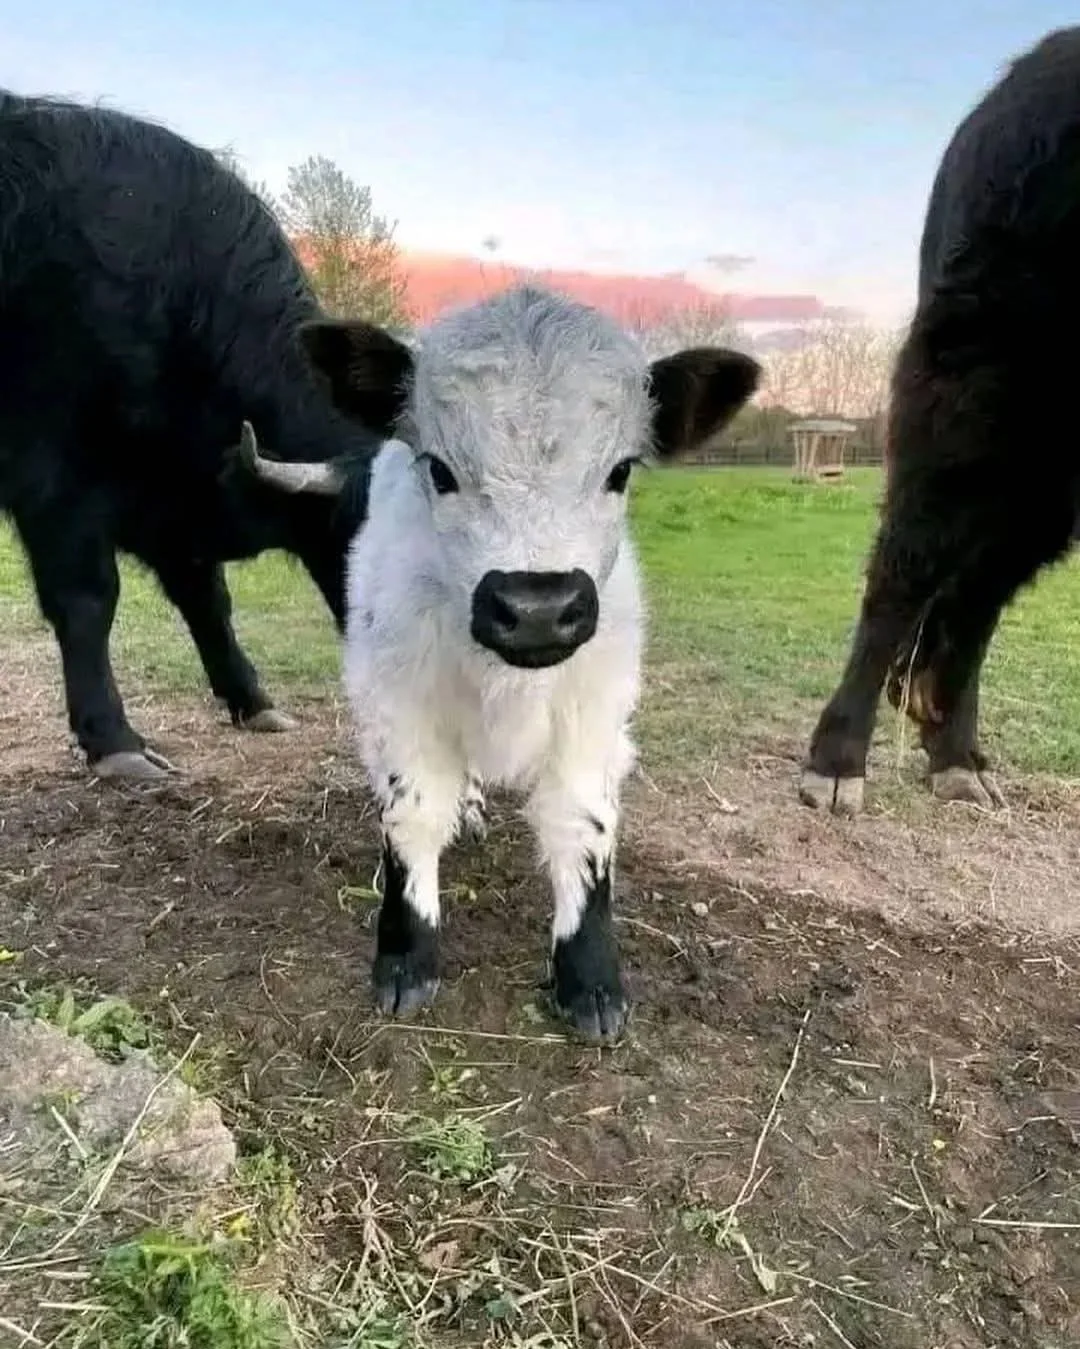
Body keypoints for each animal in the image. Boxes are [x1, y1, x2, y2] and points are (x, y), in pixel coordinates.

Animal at [0, 89, 379, 781]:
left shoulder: (169, 503)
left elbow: (208, 600)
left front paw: (254, 700)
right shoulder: (55, 481)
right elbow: (88, 600)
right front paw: (114, 740)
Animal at [239, 284, 761, 1041]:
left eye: (620, 471)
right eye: (438, 469)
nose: (537, 606)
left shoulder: (596, 713)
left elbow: (582, 822)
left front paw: (590, 977)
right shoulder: (397, 703)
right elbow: (414, 813)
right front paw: (407, 956)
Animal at [799, 27, 1080, 817]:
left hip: (1044, 461)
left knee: (976, 588)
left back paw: (953, 750)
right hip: (976, 387)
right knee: (908, 566)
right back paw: (841, 761)